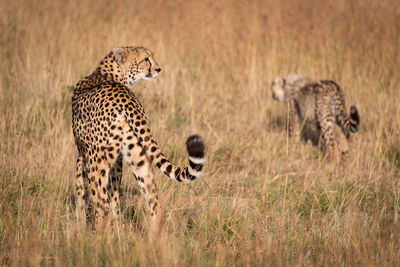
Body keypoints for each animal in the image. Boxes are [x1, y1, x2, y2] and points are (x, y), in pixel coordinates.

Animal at [71, 46, 206, 232]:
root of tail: (125, 99)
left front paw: (80, 226)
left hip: (96, 162)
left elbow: (80, 192)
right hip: (138, 157)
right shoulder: (116, 161)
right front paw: (118, 227)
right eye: (146, 59)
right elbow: (114, 196)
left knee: (101, 207)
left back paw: (98, 237)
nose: (158, 69)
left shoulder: (82, 156)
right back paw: (155, 236)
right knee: (154, 203)